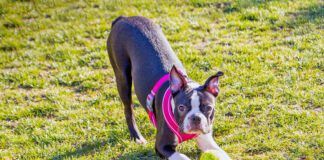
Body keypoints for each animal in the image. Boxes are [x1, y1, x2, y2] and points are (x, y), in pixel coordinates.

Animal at [107, 15, 230, 159]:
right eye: (181, 107)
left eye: (208, 108)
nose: (196, 118)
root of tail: (124, 18)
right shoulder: (161, 146)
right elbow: (182, 157)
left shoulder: (206, 139)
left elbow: (220, 153)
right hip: (122, 77)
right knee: (128, 109)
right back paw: (137, 137)